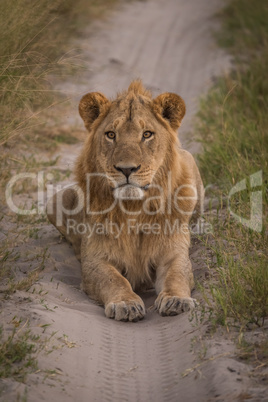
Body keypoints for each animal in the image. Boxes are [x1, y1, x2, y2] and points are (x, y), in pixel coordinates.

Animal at [47, 80, 204, 322]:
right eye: (111, 134)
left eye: (147, 134)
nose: (127, 169)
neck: (134, 209)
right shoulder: (96, 259)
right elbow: (114, 280)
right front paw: (126, 303)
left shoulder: (173, 252)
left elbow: (176, 275)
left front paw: (177, 300)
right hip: (56, 201)